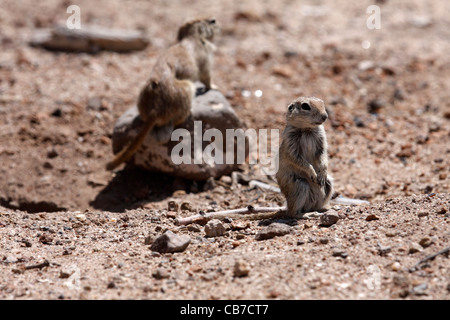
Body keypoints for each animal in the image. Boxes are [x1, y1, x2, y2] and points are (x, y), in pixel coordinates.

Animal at [105, 16, 218, 172]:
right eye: (210, 21)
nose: (216, 20)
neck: (192, 35)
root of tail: (154, 110)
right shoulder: (206, 55)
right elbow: (206, 75)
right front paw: (215, 86)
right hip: (187, 88)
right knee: (177, 119)